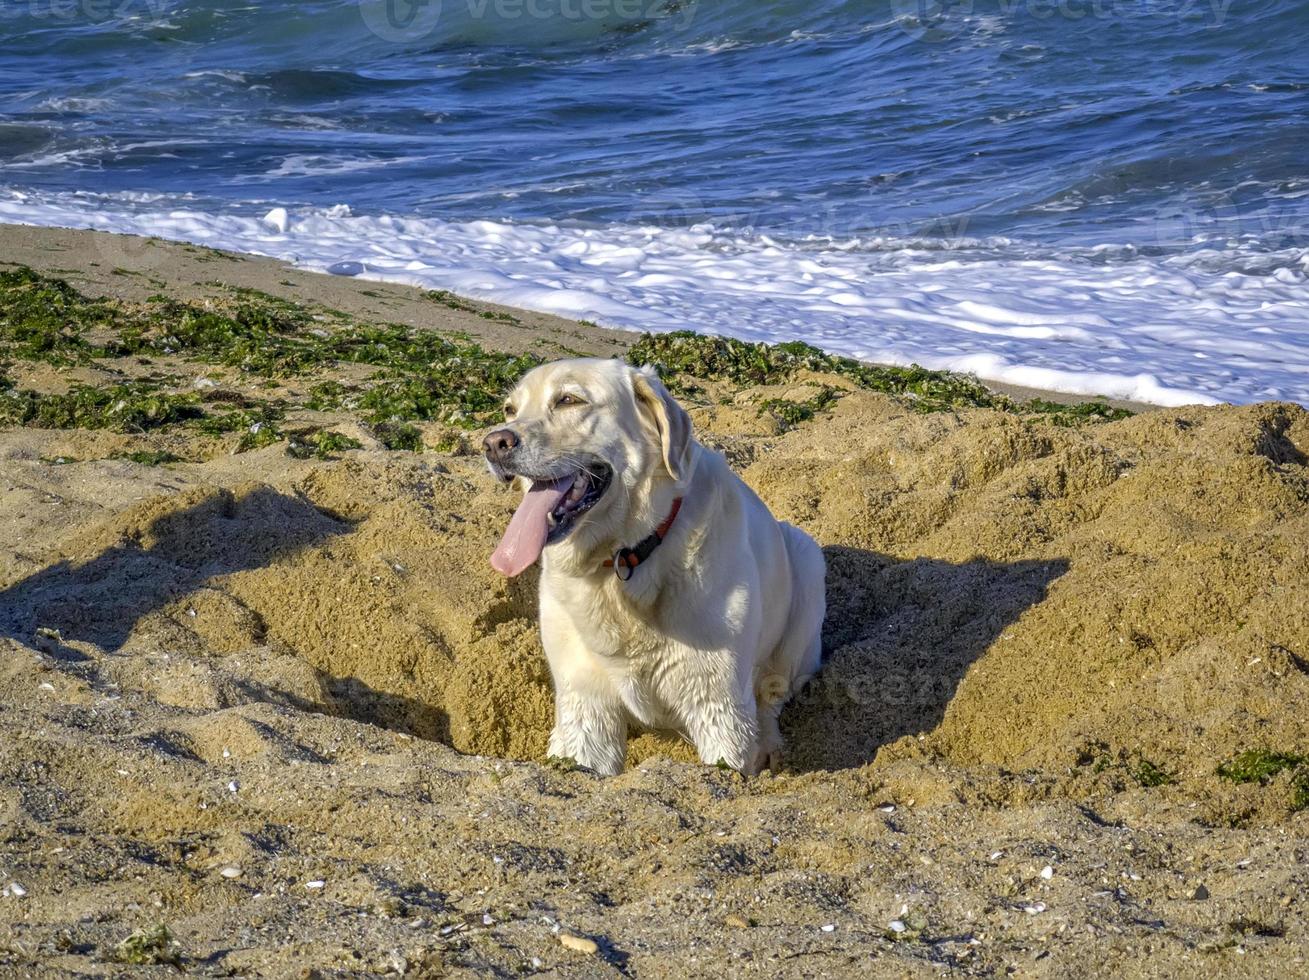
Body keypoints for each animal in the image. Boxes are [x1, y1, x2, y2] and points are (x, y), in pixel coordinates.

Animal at [481, 355, 827, 774]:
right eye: (509, 409)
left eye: (568, 400)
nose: (493, 443)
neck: (621, 560)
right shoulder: (584, 707)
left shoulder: (719, 705)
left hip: (807, 562)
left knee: (772, 695)